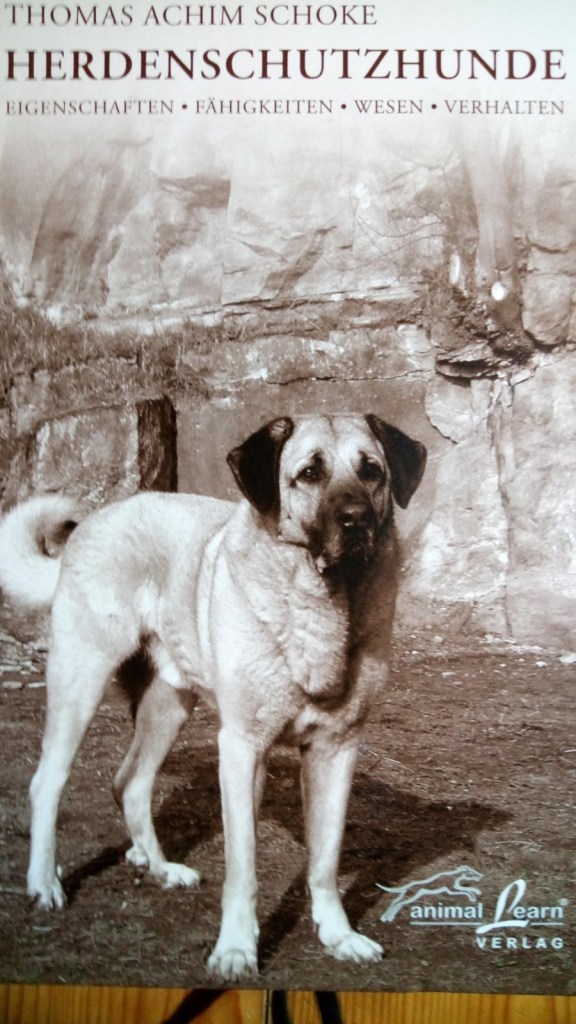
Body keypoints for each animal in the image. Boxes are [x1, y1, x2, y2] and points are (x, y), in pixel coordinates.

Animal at [0, 413, 426, 980]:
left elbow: (325, 861)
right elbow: (243, 868)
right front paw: (237, 950)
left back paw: (159, 868)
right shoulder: (243, 749)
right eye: (309, 473)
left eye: (371, 470)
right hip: (80, 679)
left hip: (168, 705)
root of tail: (96, 521)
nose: (357, 521)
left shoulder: (336, 751)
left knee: (130, 783)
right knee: (47, 782)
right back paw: (44, 883)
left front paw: (337, 936)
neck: (321, 602)